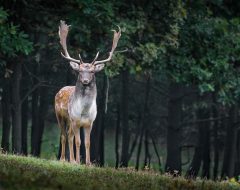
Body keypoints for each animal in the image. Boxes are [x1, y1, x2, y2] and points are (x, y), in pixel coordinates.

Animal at [55, 20, 121, 164]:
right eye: (80, 71)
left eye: (92, 71)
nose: (85, 81)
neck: (84, 111)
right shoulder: (75, 120)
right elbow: (78, 141)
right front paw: (78, 161)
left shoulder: (90, 123)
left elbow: (87, 142)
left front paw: (88, 163)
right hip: (60, 116)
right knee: (64, 135)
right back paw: (64, 159)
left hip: (70, 121)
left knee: (69, 135)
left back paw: (70, 160)